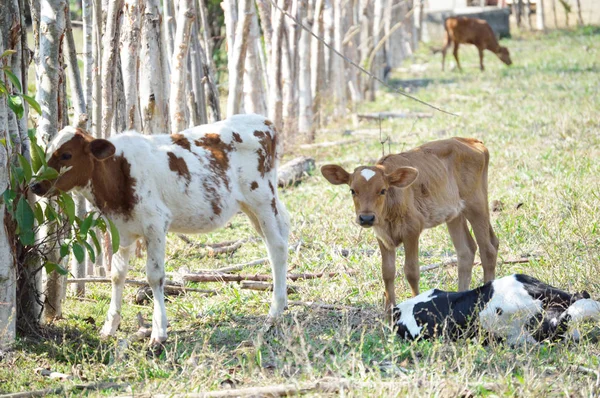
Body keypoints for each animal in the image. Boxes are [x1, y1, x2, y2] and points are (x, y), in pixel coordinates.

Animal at [31, 113, 290, 344]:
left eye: (66, 154)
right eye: (46, 152)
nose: (34, 185)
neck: (118, 174)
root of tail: (264, 121)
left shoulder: (155, 225)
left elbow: (154, 277)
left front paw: (158, 331)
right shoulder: (121, 231)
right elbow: (116, 275)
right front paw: (109, 326)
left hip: (261, 198)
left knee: (276, 245)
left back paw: (274, 312)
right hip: (253, 205)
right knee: (283, 229)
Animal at [322, 138, 500, 316]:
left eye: (382, 190)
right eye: (353, 190)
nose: (366, 217)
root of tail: (471, 141)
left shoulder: (412, 229)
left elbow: (411, 271)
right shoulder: (382, 236)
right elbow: (387, 272)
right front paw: (388, 316)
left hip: (476, 205)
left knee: (488, 249)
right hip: (455, 214)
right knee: (466, 250)